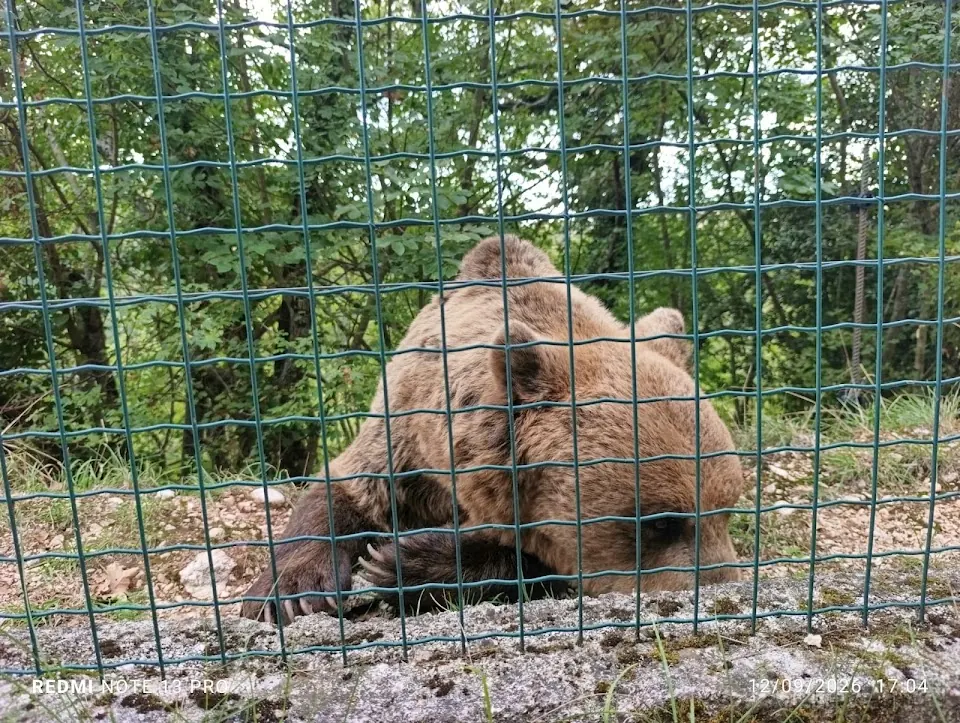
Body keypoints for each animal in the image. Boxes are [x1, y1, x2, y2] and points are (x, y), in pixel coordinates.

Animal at [240, 235, 745, 624]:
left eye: (728, 509)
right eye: (661, 522)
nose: (721, 589)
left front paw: (400, 562)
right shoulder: (405, 434)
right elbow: (348, 487)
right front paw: (294, 592)